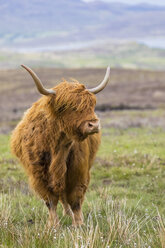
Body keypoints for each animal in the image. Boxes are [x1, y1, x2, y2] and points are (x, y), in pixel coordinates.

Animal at [10, 65, 110, 228]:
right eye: (68, 106)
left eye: (92, 105)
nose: (94, 125)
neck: (59, 145)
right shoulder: (39, 175)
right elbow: (50, 200)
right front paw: (53, 224)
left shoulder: (78, 171)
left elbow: (75, 198)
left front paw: (78, 223)